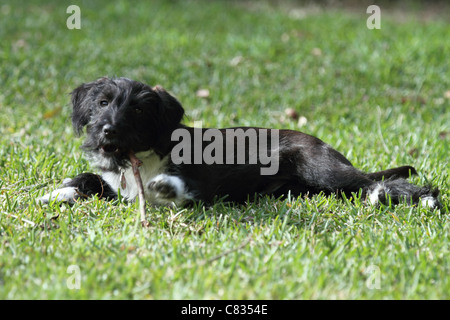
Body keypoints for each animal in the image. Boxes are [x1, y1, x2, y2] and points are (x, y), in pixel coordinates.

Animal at [40, 76, 442, 209]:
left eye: (137, 110)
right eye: (102, 103)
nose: (107, 130)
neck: (135, 156)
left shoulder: (201, 185)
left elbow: (173, 188)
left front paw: (164, 188)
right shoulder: (116, 185)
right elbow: (92, 179)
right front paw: (59, 192)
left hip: (322, 168)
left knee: (378, 183)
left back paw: (418, 198)